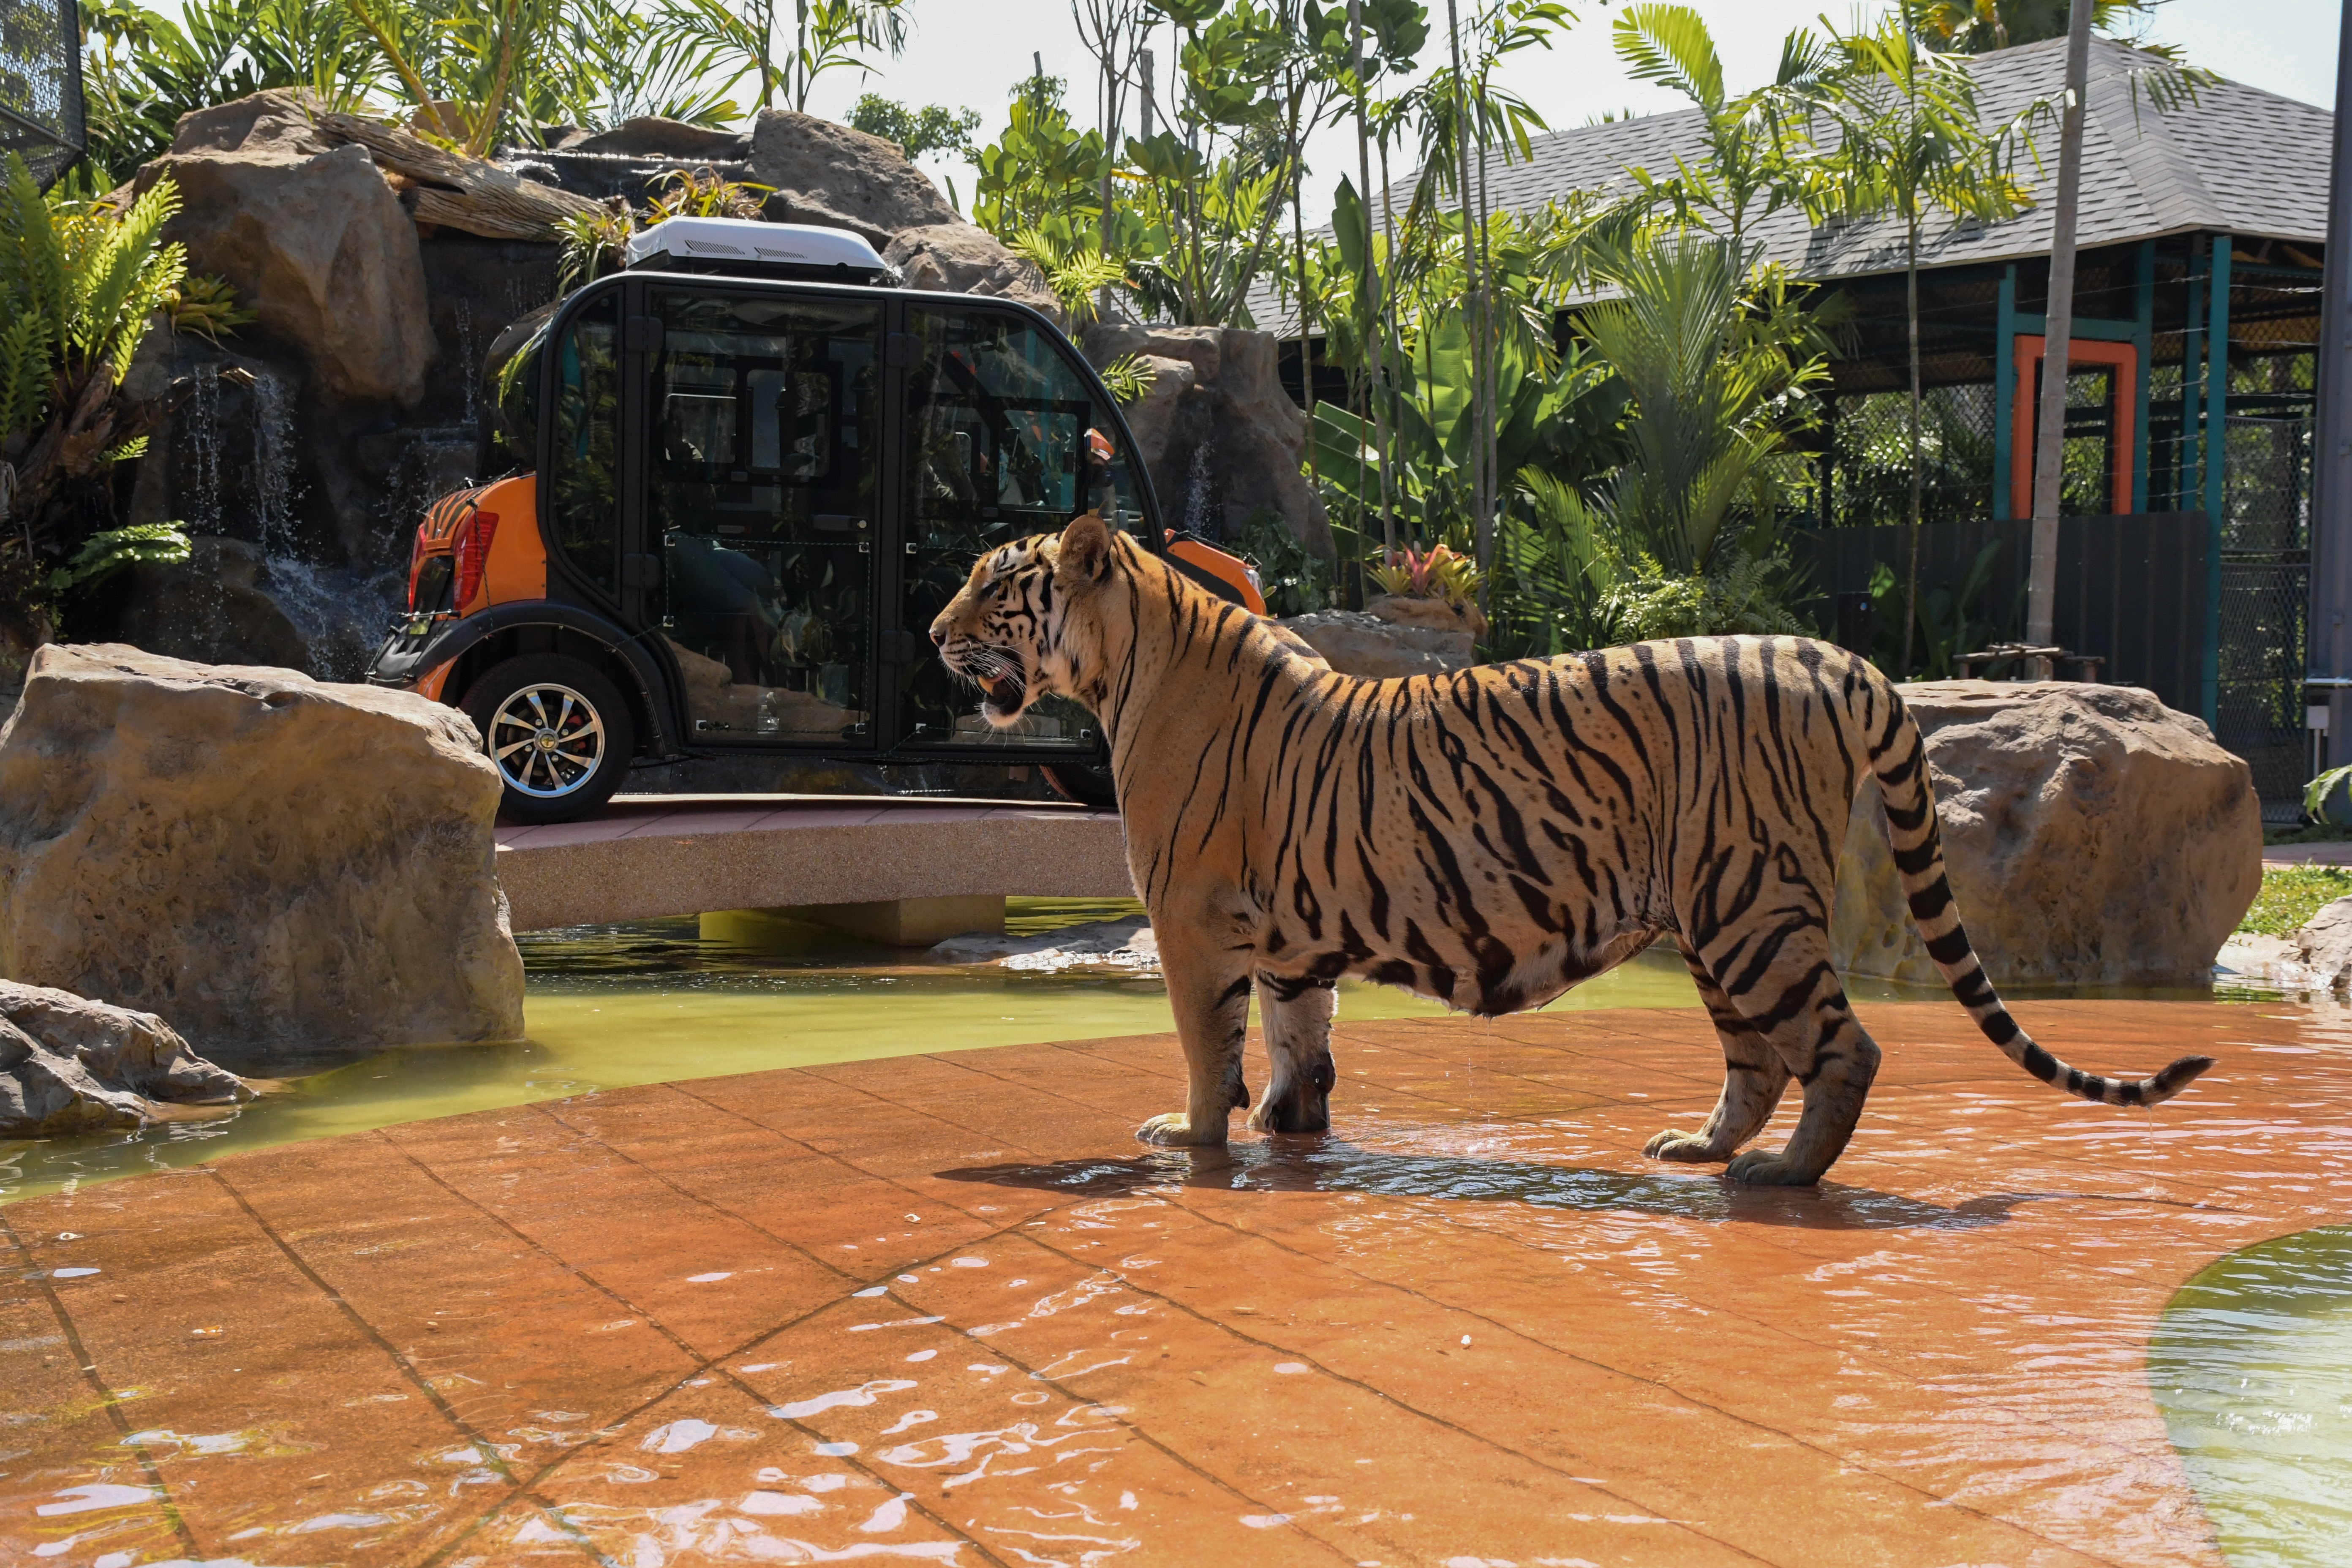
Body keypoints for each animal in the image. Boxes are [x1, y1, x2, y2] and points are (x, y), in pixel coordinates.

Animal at [928, 513, 2214, 1186]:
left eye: (993, 590)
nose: (933, 633)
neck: (1125, 665)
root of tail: (1830, 655)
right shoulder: (1290, 938)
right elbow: (1300, 1041)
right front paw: (1288, 1131)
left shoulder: (1195, 924)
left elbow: (1210, 1048)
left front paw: (1193, 1138)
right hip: (1717, 916)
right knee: (1759, 1062)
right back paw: (1698, 1146)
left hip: (1751, 912)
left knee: (1843, 1050)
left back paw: (1782, 1174)